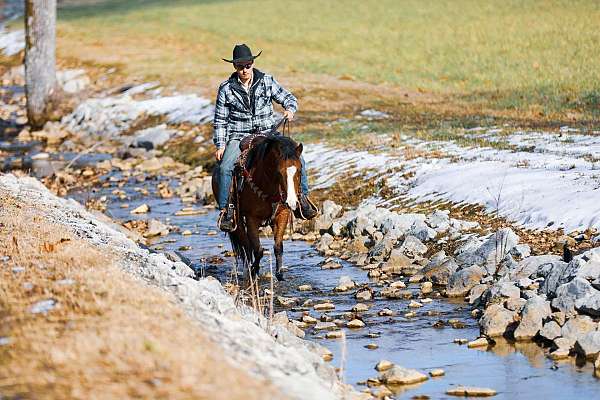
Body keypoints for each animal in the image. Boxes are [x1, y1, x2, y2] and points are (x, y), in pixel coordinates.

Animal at [212, 134, 304, 282]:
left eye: (300, 170)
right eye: (279, 172)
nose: (291, 202)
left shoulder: (282, 214)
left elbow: (278, 246)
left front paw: (279, 274)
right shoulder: (251, 218)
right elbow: (258, 250)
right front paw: (254, 271)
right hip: (237, 221)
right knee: (247, 247)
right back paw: (247, 270)